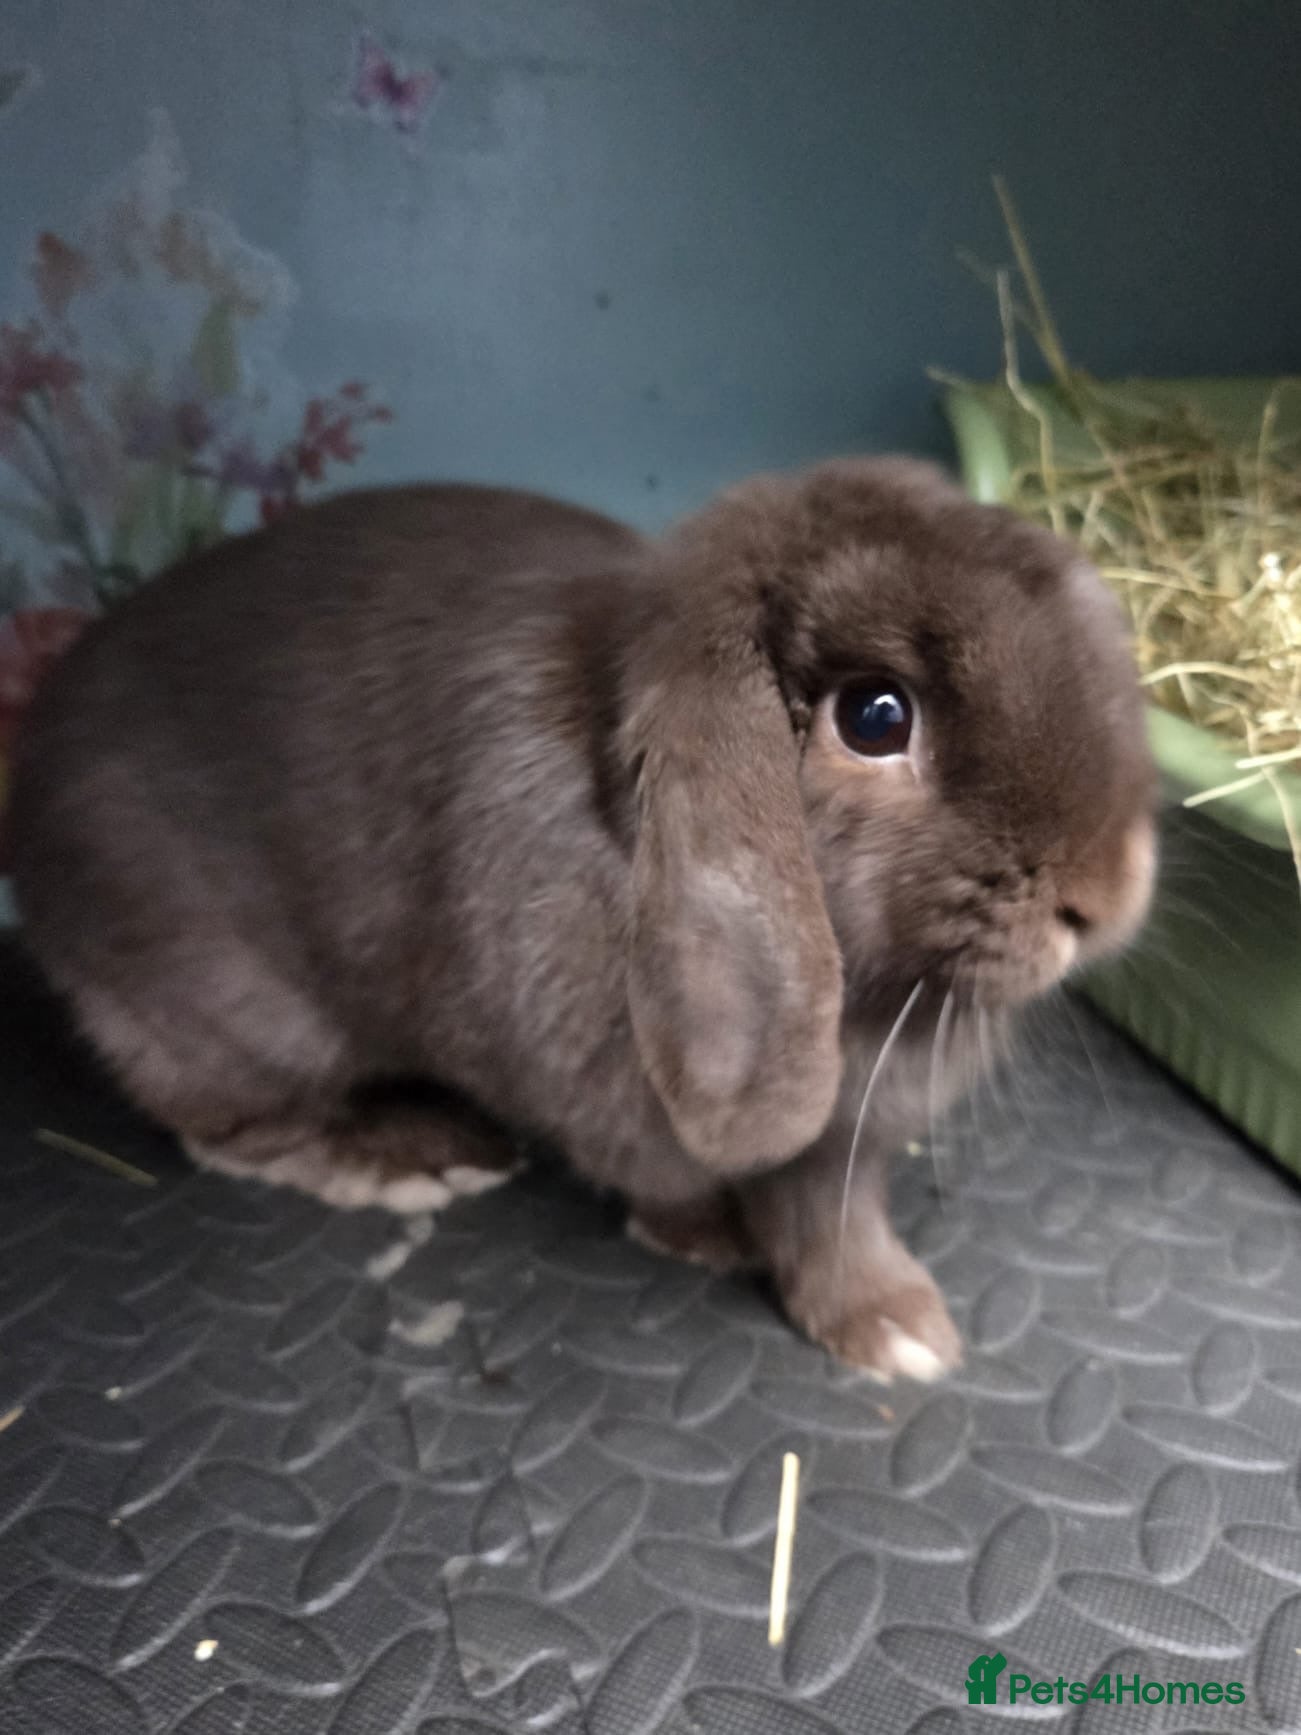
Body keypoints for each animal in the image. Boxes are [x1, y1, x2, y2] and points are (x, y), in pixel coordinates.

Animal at [8, 459, 1156, 1378]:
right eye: (874, 715)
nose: (1104, 890)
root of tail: (35, 770)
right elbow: (677, 1187)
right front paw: (712, 1241)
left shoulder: (844, 1151)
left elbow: (834, 1222)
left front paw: (901, 1331)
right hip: (223, 1006)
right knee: (231, 1129)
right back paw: (415, 1155)